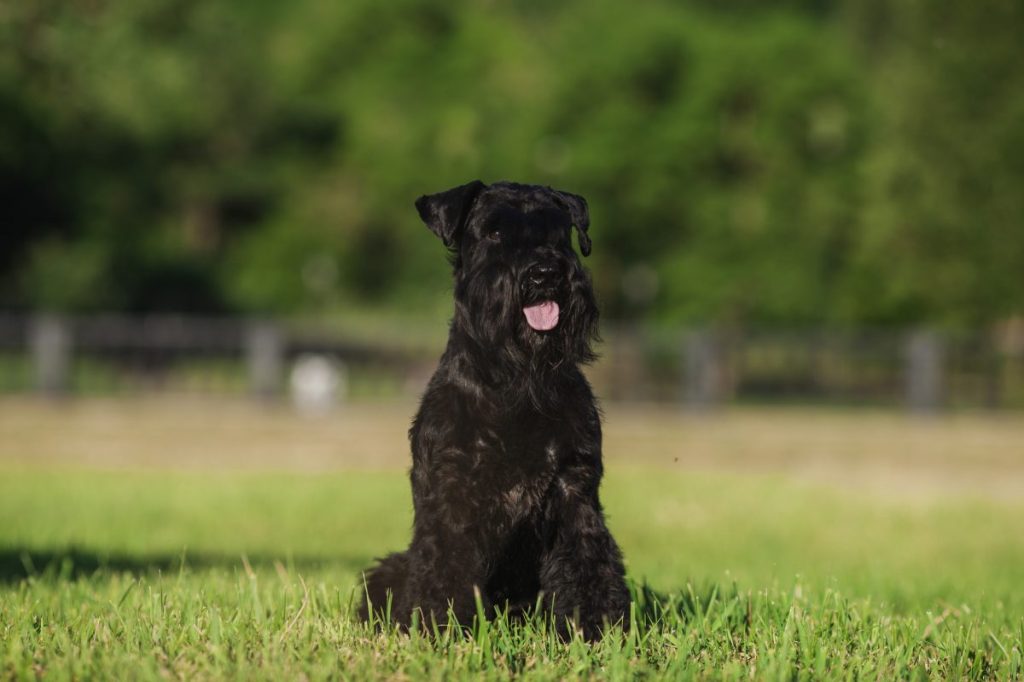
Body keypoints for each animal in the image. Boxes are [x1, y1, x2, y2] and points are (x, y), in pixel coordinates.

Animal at [360, 178, 630, 634]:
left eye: (558, 231)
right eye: (494, 231)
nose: (545, 272)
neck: (517, 380)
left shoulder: (574, 487)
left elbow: (587, 558)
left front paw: (594, 628)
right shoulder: (452, 489)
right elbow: (445, 564)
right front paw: (441, 626)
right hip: (388, 571)